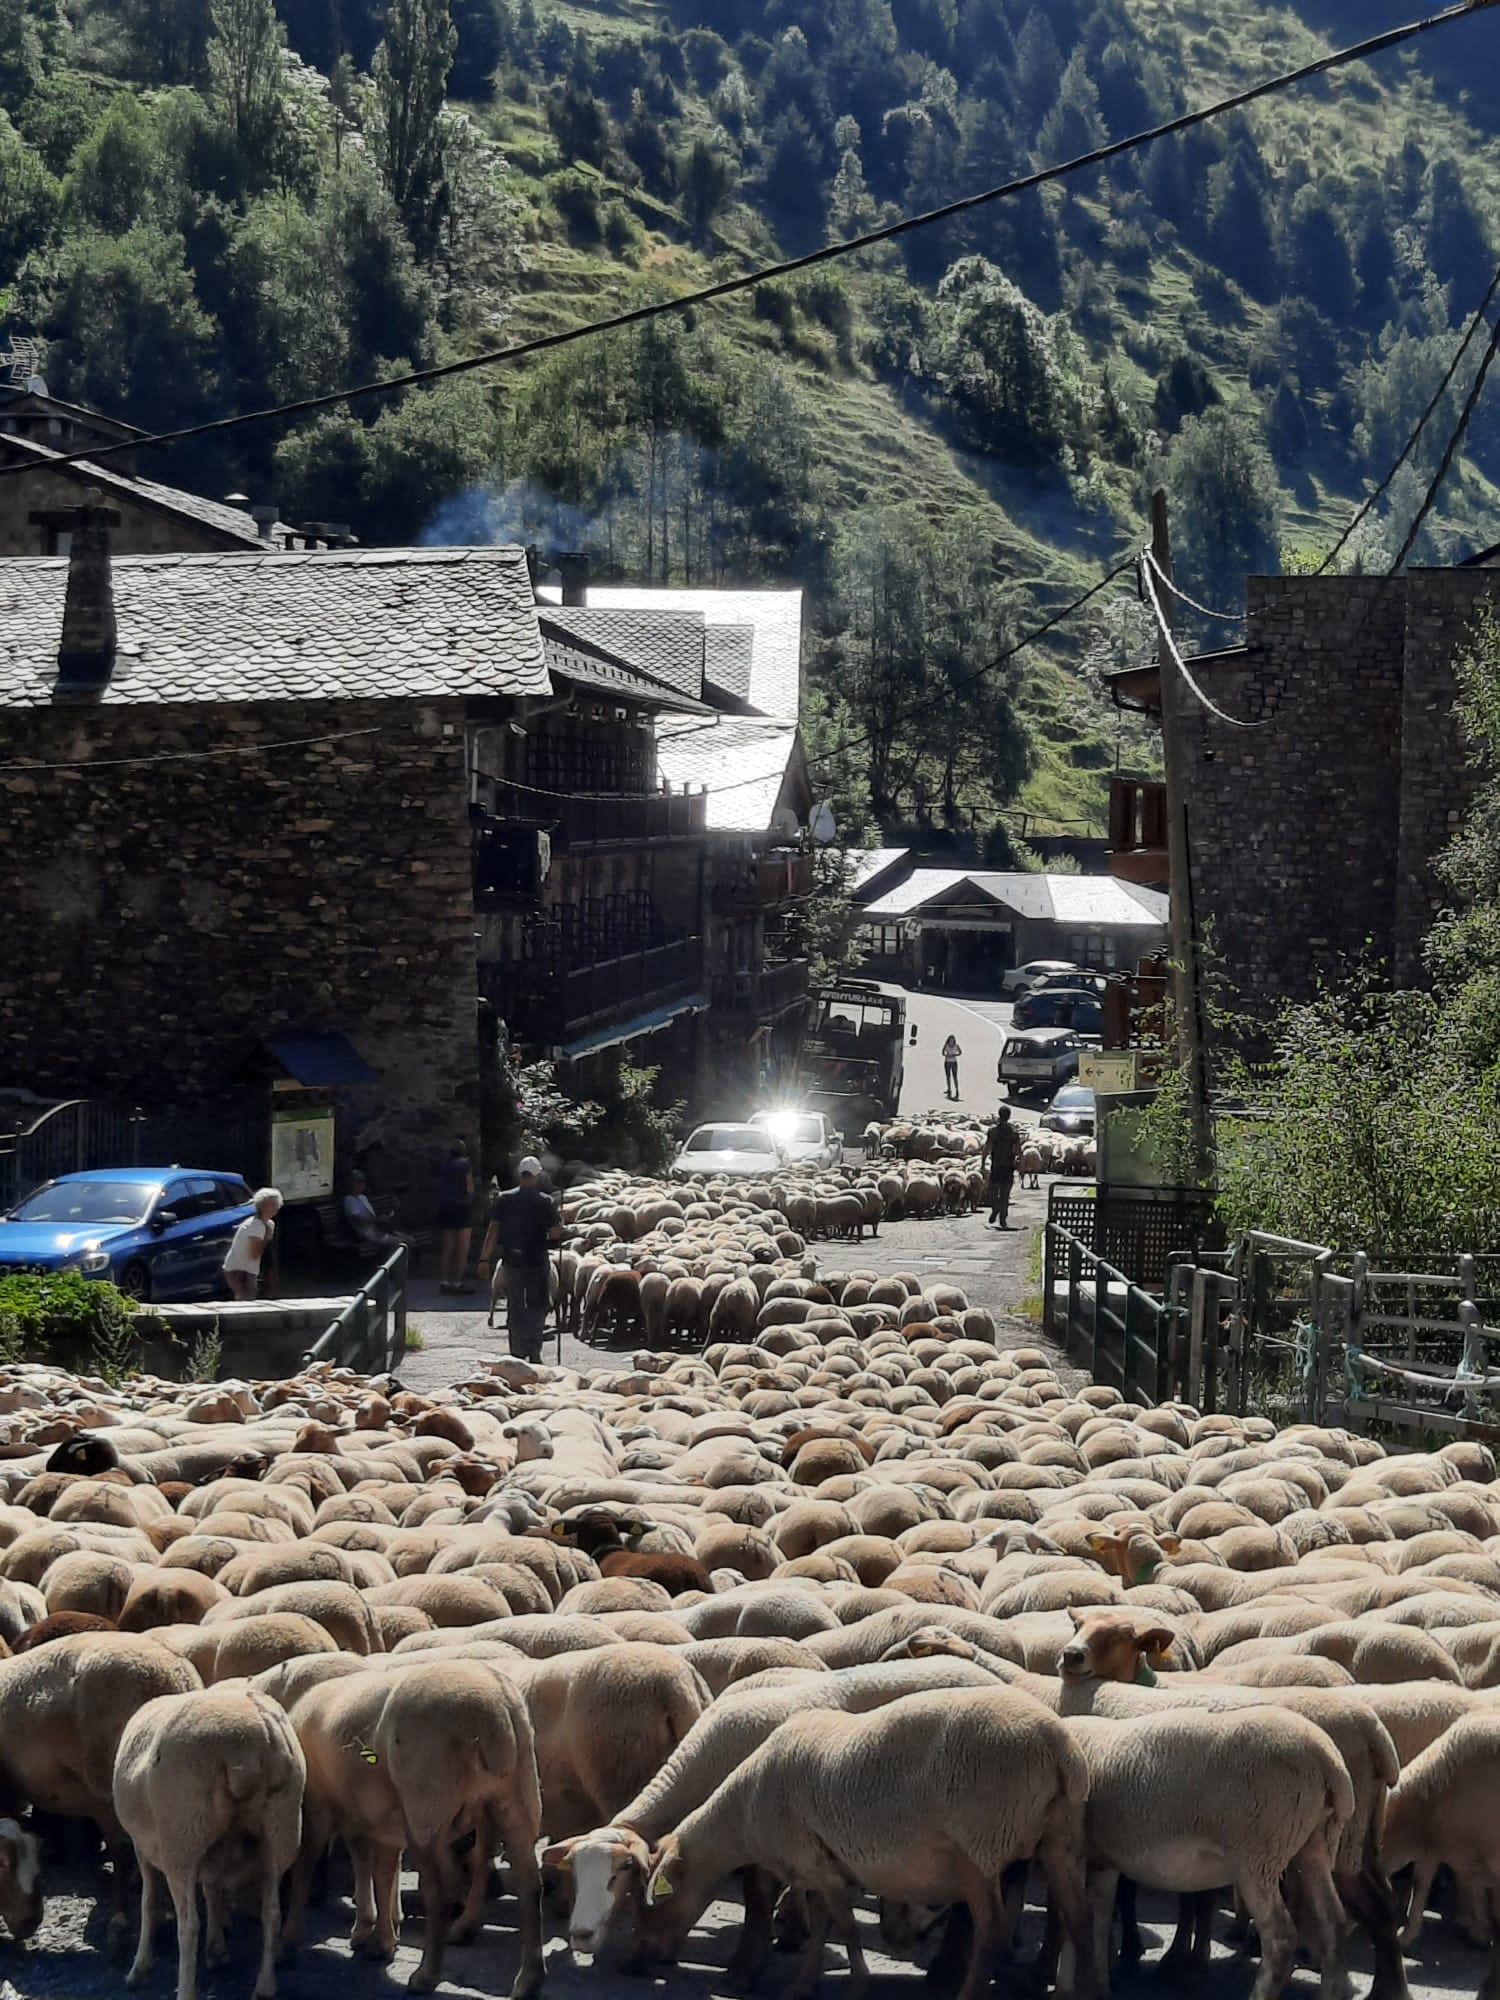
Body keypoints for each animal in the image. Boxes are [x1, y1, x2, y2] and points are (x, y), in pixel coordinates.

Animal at [117, 1688, 308, 2000]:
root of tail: (260, 1731)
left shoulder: (143, 1847)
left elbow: (148, 1901)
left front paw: (140, 1967)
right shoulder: (214, 1854)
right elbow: (213, 1890)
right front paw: (217, 1951)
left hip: (182, 1837)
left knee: (189, 1925)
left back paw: (185, 1990)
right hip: (280, 1830)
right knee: (272, 1913)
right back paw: (265, 1986)